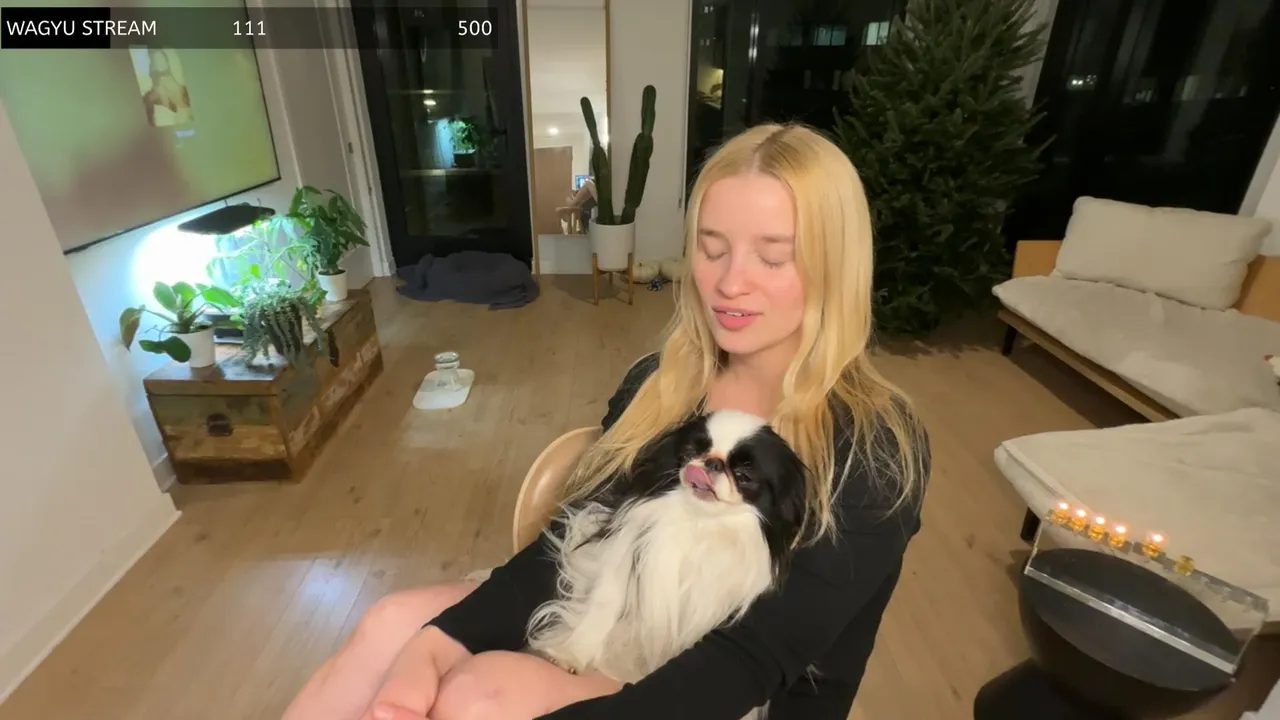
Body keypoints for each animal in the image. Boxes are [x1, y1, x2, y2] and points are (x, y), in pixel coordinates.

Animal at [526, 409, 809, 687]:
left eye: (744, 476)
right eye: (691, 451)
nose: (712, 463)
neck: (700, 522)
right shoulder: (623, 562)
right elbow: (602, 609)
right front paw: (571, 654)